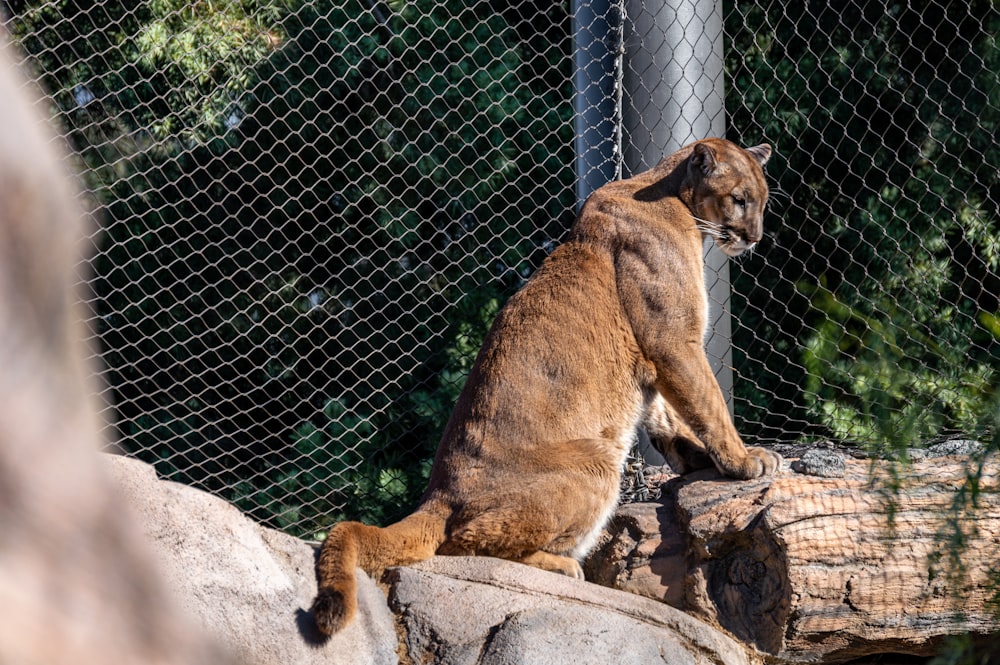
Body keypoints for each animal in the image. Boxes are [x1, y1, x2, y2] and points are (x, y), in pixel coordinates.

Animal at [312, 135, 780, 632]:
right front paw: (743, 461)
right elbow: (707, 403)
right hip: (595, 463)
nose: (755, 238)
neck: (673, 197)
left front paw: (697, 458)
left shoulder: (655, 358)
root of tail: (437, 495)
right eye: (739, 200)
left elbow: (668, 415)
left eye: (763, 201)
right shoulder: (673, 340)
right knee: (459, 543)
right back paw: (562, 566)